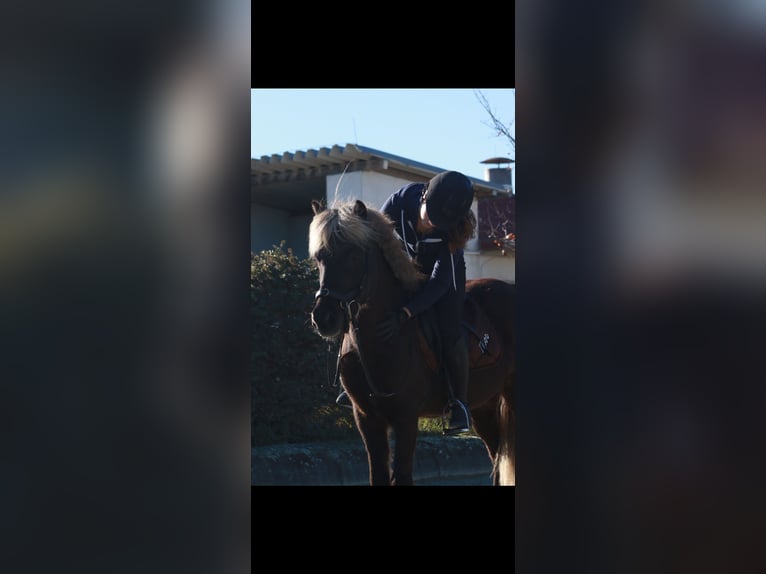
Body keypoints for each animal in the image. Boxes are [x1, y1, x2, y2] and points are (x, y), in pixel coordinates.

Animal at [308, 198, 515, 486]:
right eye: (319, 258)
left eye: (352, 254)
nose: (323, 318)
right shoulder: (366, 418)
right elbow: (378, 475)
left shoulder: (406, 417)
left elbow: (402, 476)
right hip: (484, 403)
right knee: (496, 456)